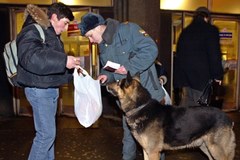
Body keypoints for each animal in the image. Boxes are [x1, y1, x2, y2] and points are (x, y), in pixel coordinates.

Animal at [107, 72, 236, 160]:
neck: (140, 107)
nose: (106, 83)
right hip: (206, 147)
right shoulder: (146, 151)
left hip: (216, 149)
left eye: (118, 82)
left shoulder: (153, 152)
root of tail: (228, 119)